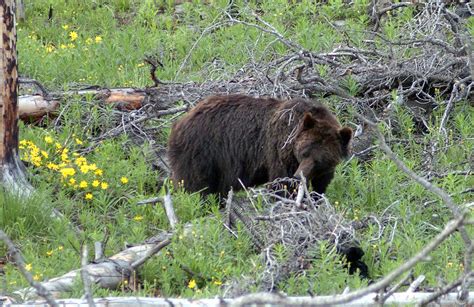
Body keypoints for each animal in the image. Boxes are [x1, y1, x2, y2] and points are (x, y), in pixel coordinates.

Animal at [167, 94, 352, 196]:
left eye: (320, 159)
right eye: (303, 152)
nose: (299, 176)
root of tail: (179, 122)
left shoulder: (324, 170)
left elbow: (321, 186)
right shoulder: (279, 150)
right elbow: (281, 184)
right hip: (202, 153)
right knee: (196, 186)